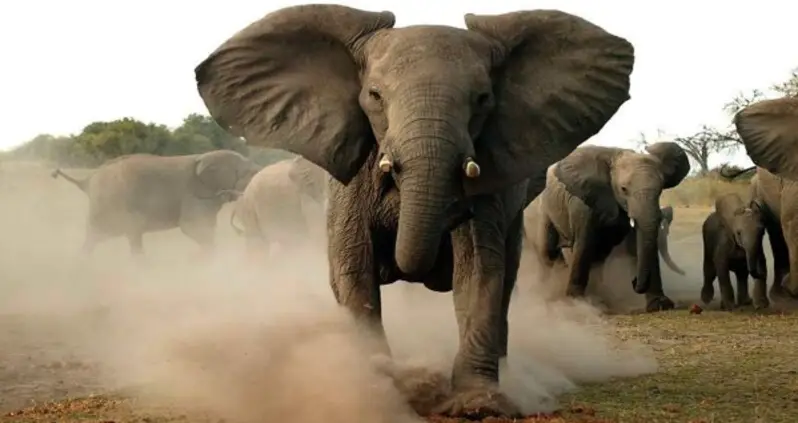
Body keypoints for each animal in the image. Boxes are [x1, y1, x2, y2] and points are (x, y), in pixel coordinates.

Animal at [52, 150, 261, 255]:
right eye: (250, 174)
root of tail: (86, 181)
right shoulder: (194, 193)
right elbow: (193, 227)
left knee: (96, 239)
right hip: (113, 205)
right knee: (128, 235)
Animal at [192, 4, 635, 418]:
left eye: (482, 99)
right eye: (374, 96)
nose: (454, 210)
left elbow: (478, 269)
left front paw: (478, 404)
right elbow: (353, 265)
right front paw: (377, 387)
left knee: (506, 275)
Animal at [533, 142, 690, 312]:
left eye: (660, 190)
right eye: (623, 189)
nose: (634, 282)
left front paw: (660, 305)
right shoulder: (584, 202)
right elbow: (584, 244)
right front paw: (576, 302)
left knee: (598, 256)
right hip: (544, 207)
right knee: (549, 252)